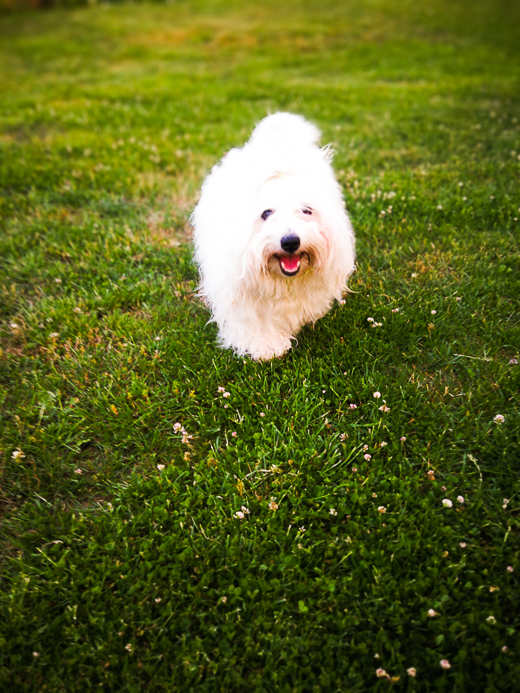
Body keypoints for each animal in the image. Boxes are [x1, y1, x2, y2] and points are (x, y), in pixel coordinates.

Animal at [192, 111, 358, 360]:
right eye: (266, 213)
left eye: (306, 210)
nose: (290, 241)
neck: (283, 282)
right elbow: (251, 322)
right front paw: (266, 346)